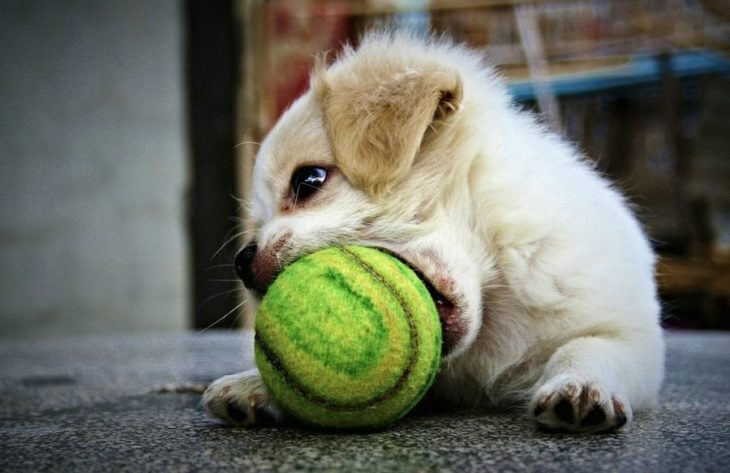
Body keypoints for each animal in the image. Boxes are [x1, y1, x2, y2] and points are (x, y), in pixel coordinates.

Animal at [202, 31, 664, 434]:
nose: (241, 261)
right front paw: (255, 383)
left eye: (308, 181)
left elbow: (585, 347)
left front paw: (581, 388)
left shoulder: (631, 337)